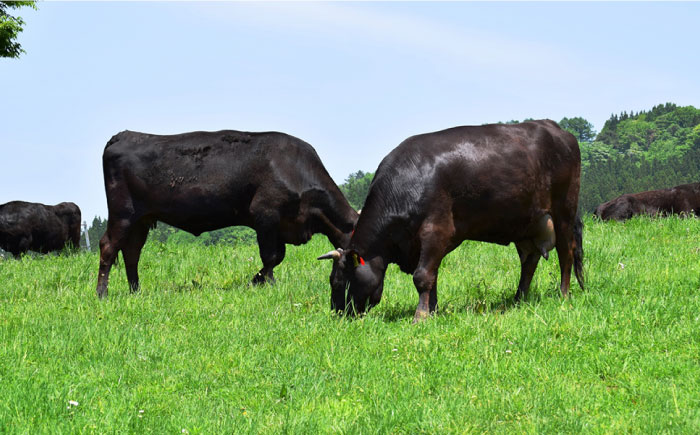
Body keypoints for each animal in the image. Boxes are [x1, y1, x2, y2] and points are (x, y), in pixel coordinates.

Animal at [96, 130, 358, 300]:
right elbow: (271, 256)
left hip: (141, 220)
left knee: (132, 252)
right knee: (108, 246)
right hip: (123, 214)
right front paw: (265, 283)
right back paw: (102, 293)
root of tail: (123, 135)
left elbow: (277, 256)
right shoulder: (265, 215)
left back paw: (136, 291)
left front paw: (258, 280)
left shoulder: (279, 225)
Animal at [320, 121, 584, 322]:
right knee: (529, 262)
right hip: (527, 226)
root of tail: (557, 128)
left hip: (564, 211)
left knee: (566, 253)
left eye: (340, 282)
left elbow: (422, 276)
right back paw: (518, 299)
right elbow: (432, 276)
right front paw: (433, 310)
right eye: (332, 281)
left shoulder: (436, 230)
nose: (338, 315)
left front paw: (420, 316)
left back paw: (564, 295)